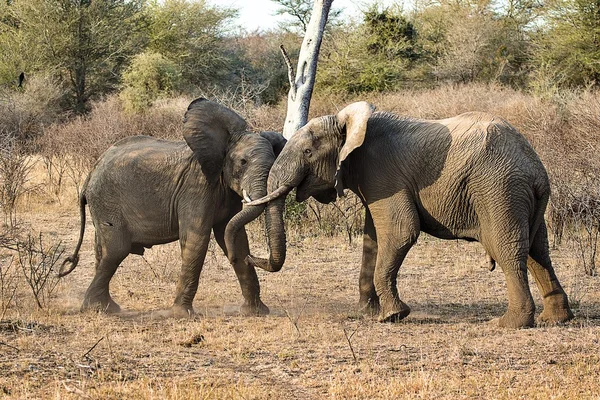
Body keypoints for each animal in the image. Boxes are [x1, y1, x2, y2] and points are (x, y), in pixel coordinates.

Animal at [59, 98, 288, 318]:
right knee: (116, 250)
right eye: (243, 162)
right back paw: (96, 309)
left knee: (103, 251)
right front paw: (182, 315)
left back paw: (107, 308)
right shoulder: (196, 188)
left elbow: (234, 236)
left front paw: (255, 312)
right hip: (107, 202)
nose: (251, 259)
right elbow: (197, 239)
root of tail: (91, 173)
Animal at [246, 101, 576, 328]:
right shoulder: (375, 182)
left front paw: (392, 316)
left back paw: (509, 324)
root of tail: (536, 169)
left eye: (307, 153)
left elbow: (401, 231)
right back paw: (555, 319)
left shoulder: (381, 173)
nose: (251, 257)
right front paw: (368, 312)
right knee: (538, 251)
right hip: (518, 195)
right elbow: (373, 239)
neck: (347, 122)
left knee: (508, 250)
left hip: (498, 189)